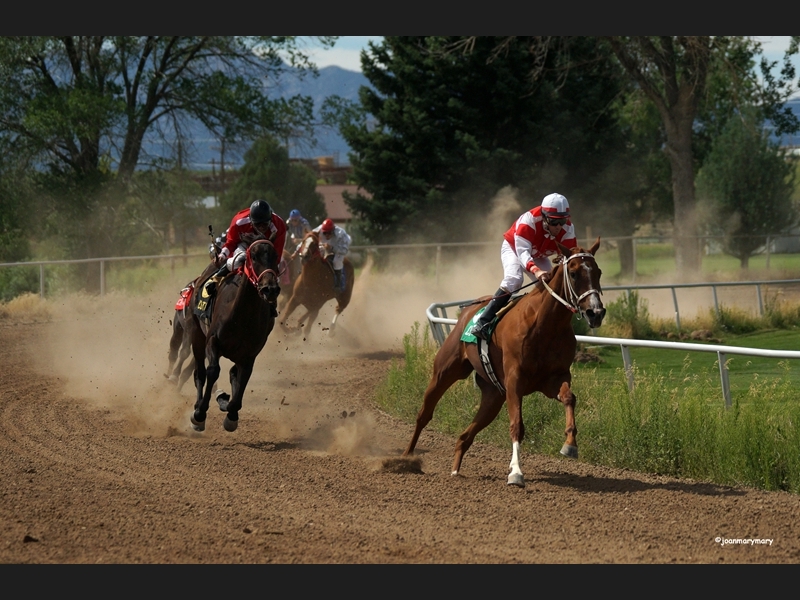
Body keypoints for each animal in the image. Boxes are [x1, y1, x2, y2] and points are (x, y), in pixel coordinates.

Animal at [187, 239, 282, 432]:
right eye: (253, 256)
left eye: (276, 256)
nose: (270, 289)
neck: (242, 316)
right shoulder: (212, 341)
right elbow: (213, 371)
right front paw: (200, 413)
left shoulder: (249, 355)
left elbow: (241, 379)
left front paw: (231, 413)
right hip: (196, 333)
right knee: (200, 372)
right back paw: (198, 408)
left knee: (232, 373)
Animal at [404, 239, 604, 488]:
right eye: (574, 273)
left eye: (598, 272)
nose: (596, 312)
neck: (545, 324)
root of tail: (470, 309)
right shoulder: (514, 381)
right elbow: (517, 425)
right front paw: (516, 473)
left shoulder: (554, 378)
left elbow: (569, 397)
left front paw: (570, 444)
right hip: (444, 373)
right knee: (424, 414)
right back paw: (406, 459)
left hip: (493, 397)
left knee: (464, 437)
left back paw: (455, 471)